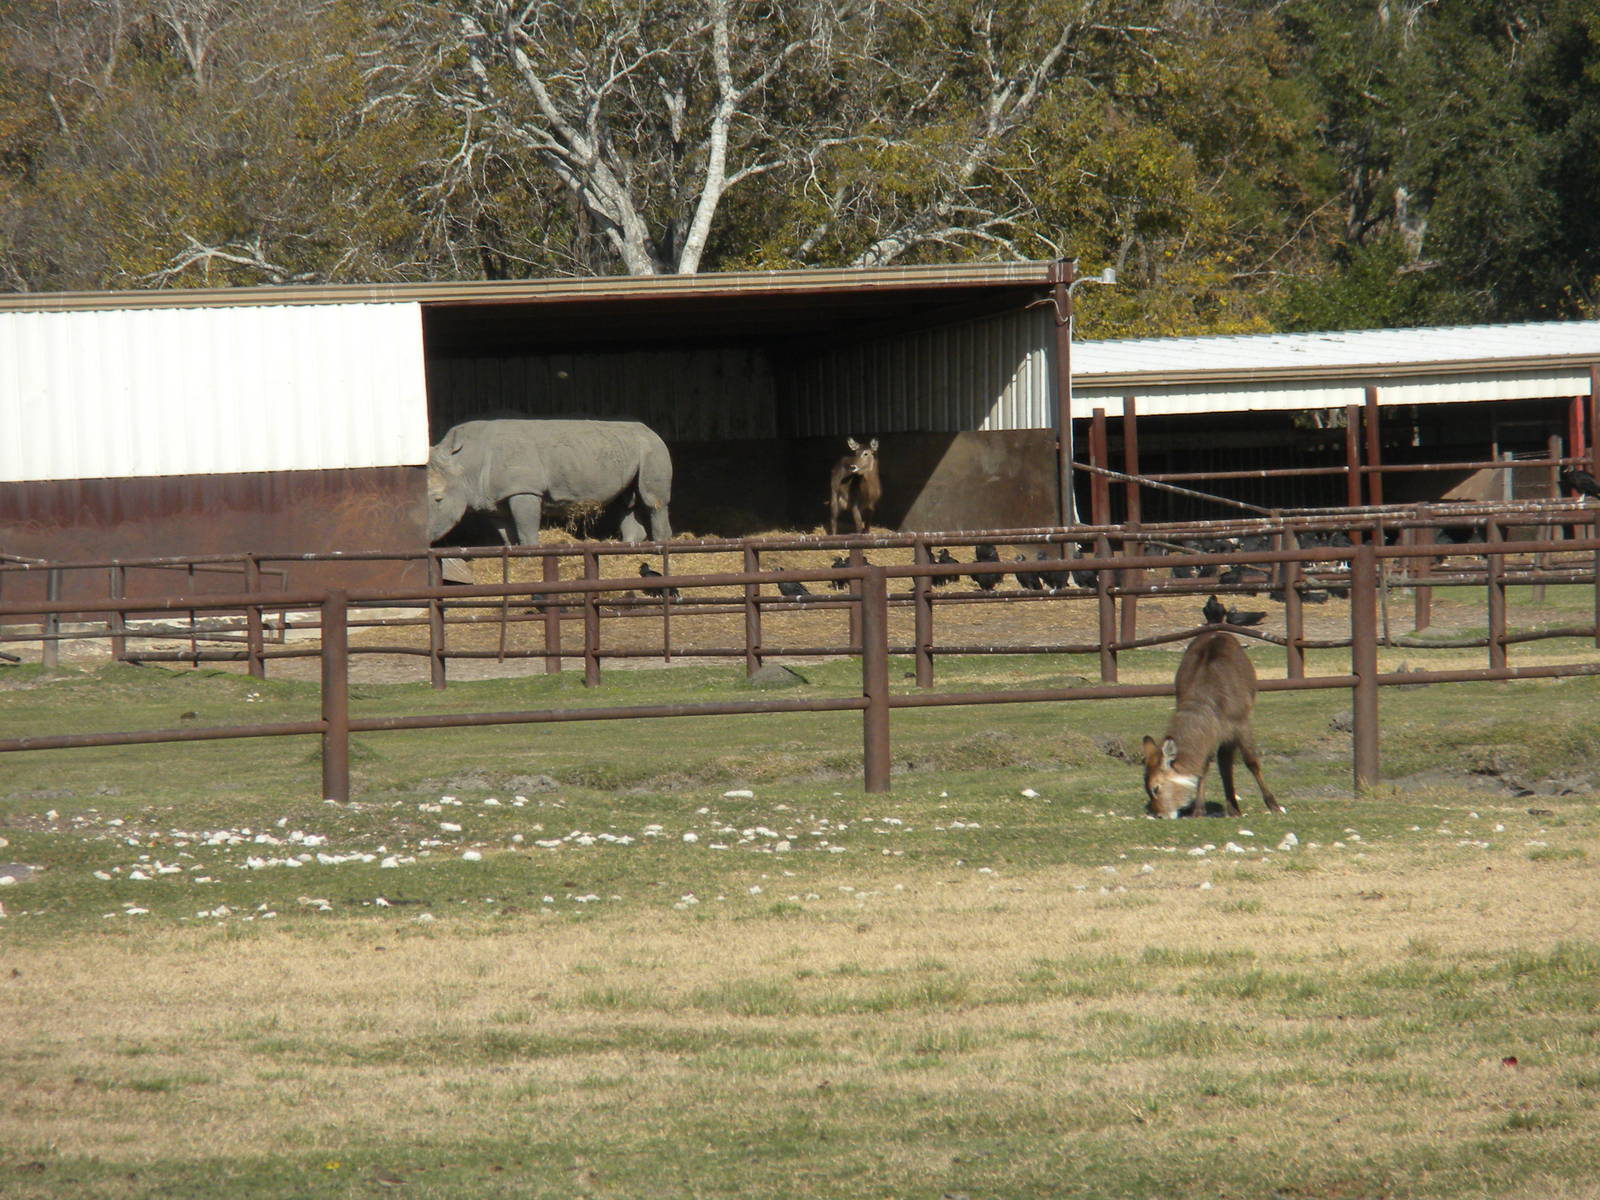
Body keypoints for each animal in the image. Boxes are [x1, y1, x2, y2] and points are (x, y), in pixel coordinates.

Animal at [426, 418, 673, 545]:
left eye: (438, 500)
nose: (425, 539)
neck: (464, 464)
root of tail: (652, 430)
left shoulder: (524, 490)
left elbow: (526, 530)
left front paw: (532, 554)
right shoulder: (492, 498)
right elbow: (508, 534)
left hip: (652, 447)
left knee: (653, 502)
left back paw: (660, 544)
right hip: (625, 447)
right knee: (625, 502)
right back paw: (629, 544)